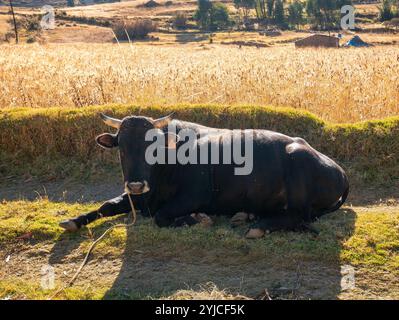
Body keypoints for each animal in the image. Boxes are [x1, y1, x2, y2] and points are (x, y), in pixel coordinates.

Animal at [60, 114, 350, 238]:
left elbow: (162, 217)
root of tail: (340, 170)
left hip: (298, 169)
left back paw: (257, 226)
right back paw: (246, 215)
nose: (136, 184)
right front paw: (74, 220)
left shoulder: (195, 195)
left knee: (297, 216)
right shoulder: (136, 198)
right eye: (121, 145)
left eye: (154, 145)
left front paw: (198, 219)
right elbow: (106, 205)